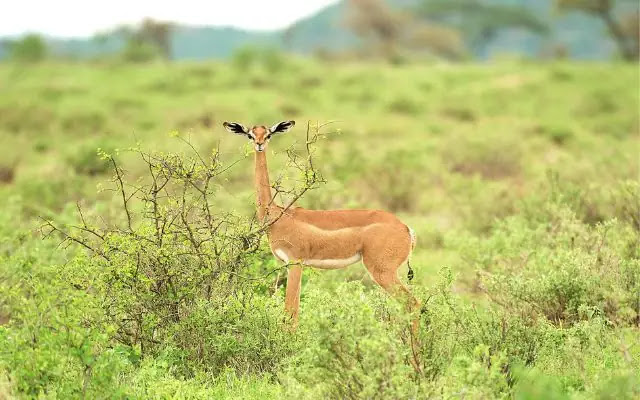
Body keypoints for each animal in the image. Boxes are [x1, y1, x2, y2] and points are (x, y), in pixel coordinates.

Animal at [224, 120, 420, 324]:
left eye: (269, 134)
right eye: (250, 134)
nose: (259, 144)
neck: (277, 215)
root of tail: (406, 229)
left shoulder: (295, 263)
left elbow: (291, 314)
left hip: (382, 271)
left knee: (412, 304)